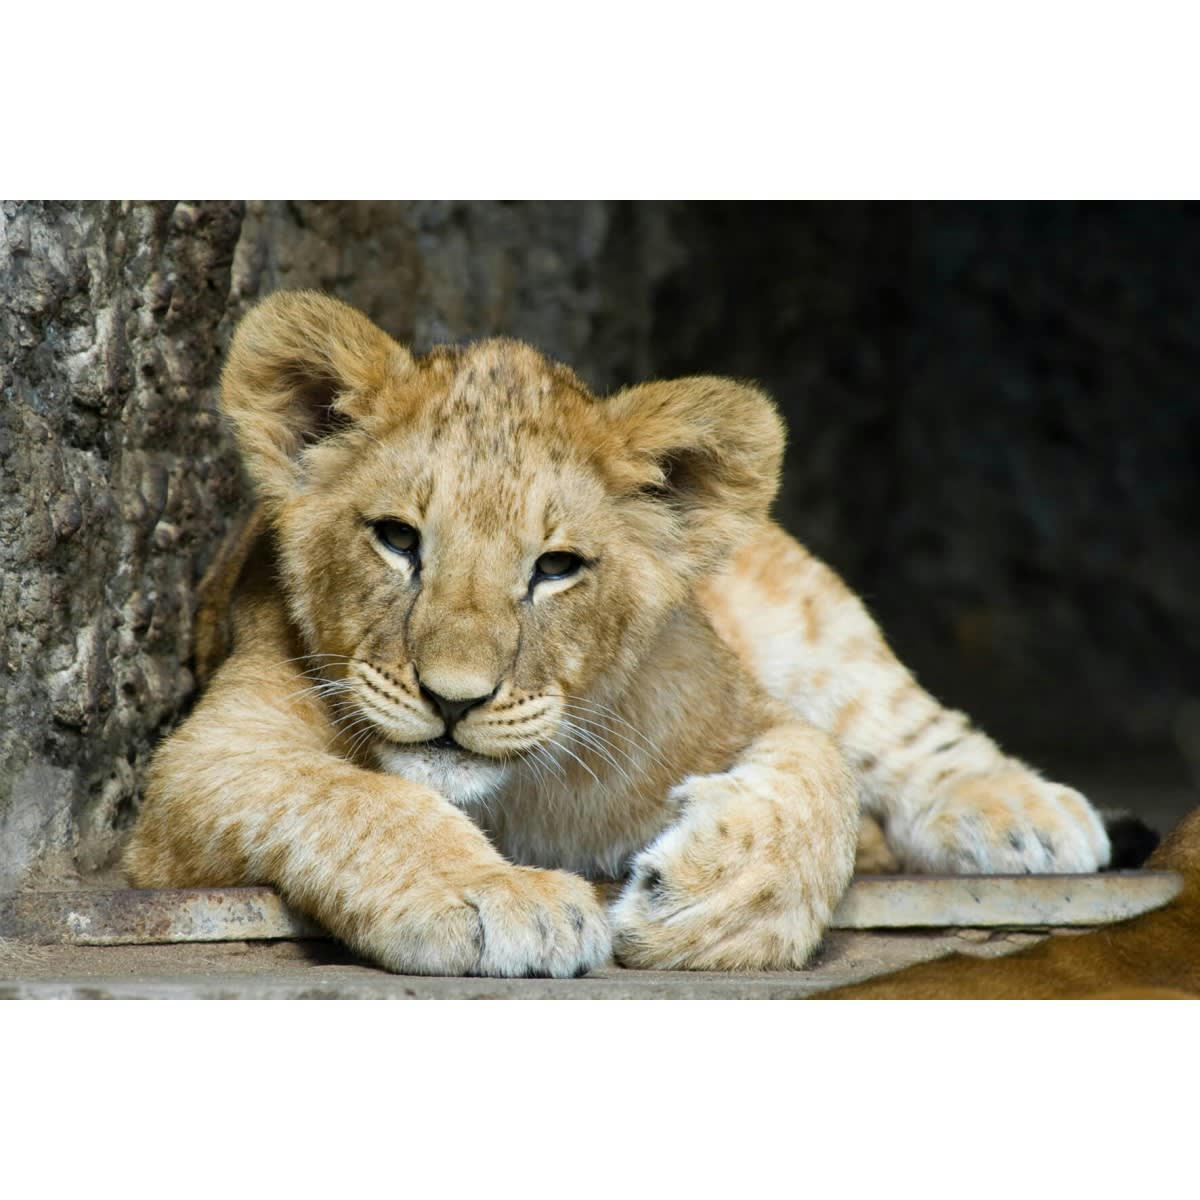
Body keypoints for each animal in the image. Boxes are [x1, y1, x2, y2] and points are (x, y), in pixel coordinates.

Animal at [123, 291, 1110, 977]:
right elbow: (357, 798)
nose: (453, 699)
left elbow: (821, 768)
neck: (511, 799)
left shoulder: (731, 707)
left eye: (556, 566)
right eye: (398, 540)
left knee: (898, 723)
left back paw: (1026, 815)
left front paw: (717, 907)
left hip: (809, 609)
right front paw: (505, 896)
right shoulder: (203, 765)